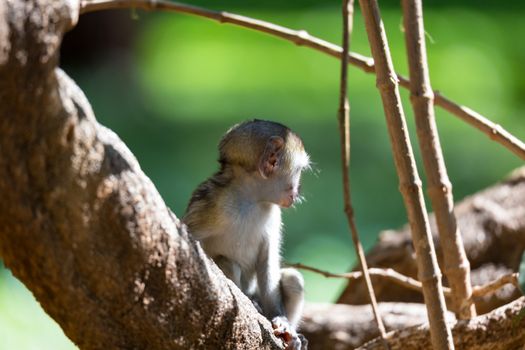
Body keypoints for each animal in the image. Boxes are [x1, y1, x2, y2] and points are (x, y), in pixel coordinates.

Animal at [182, 119, 310, 348]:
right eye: (299, 170)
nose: (298, 190)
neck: (250, 198)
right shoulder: (211, 204)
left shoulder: (273, 213)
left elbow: (267, 261)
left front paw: (283, 321)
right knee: (226, 262)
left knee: (293, 280)